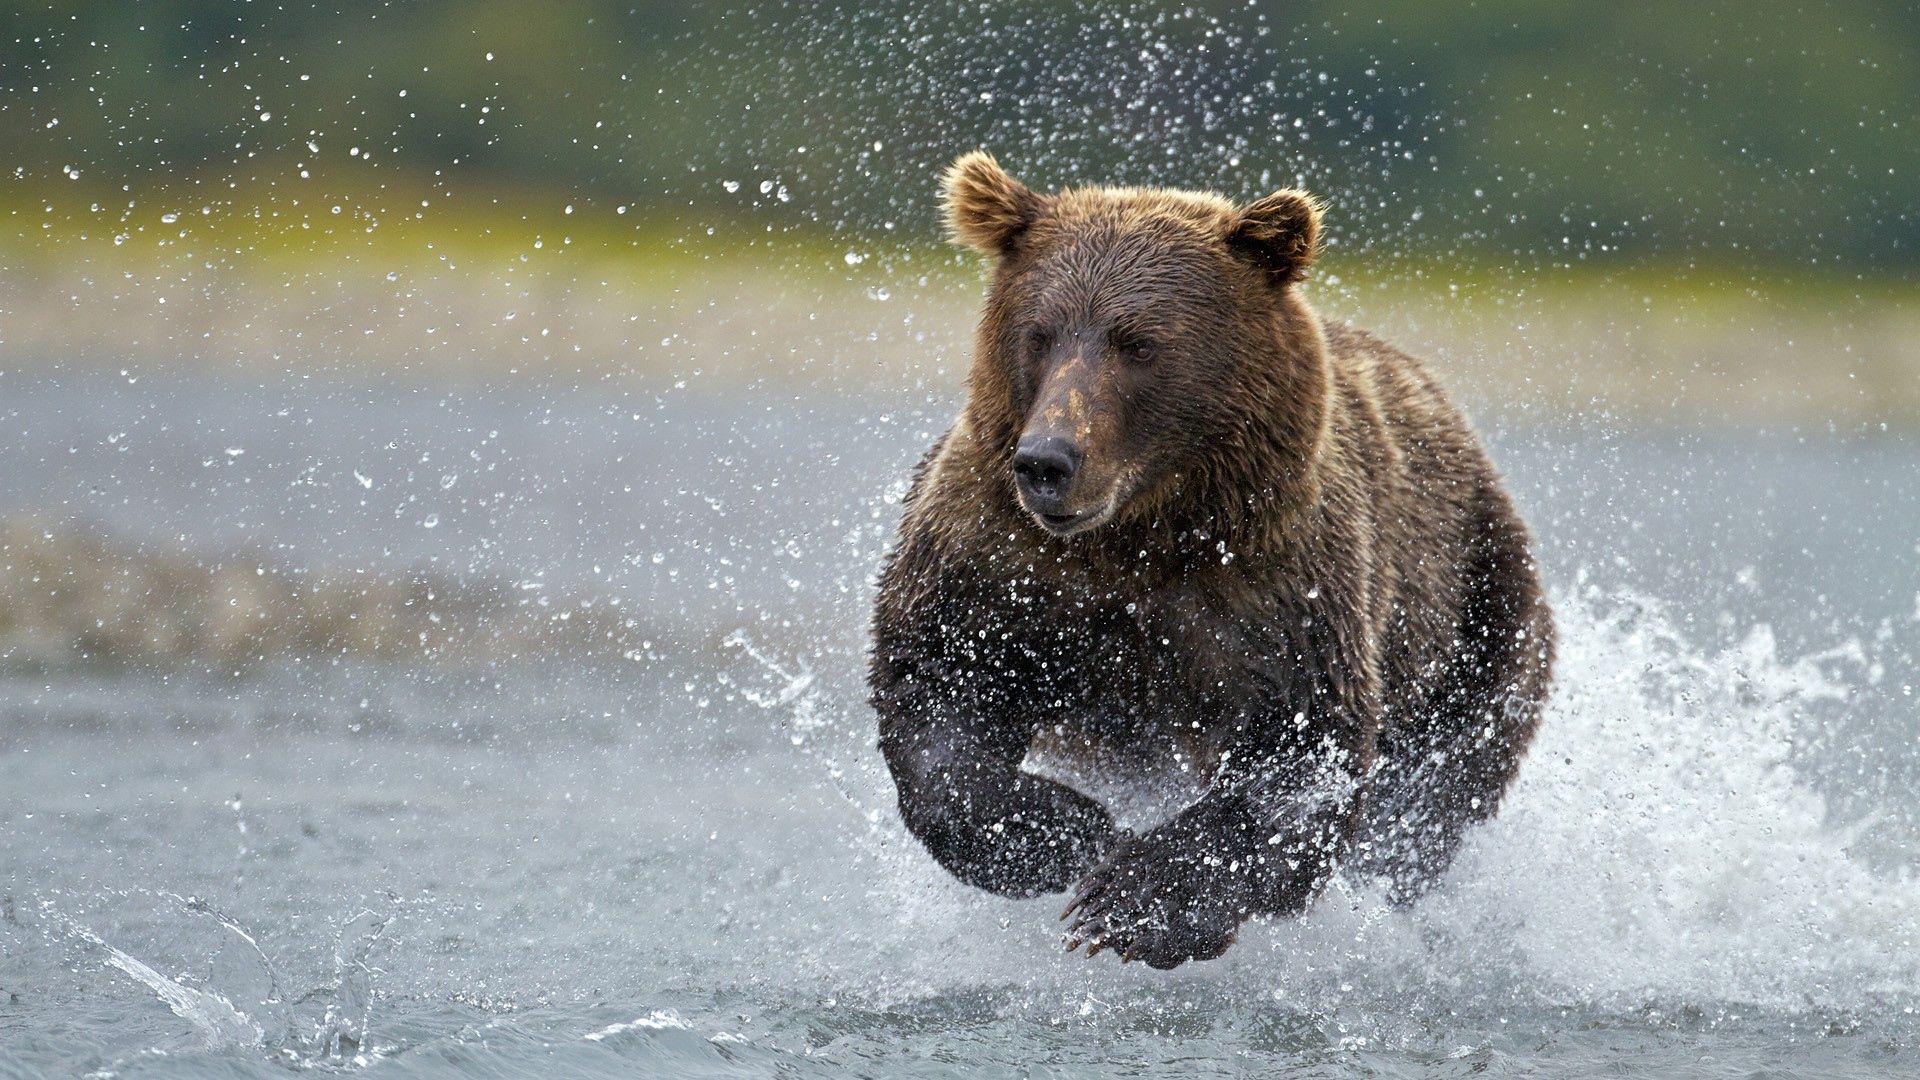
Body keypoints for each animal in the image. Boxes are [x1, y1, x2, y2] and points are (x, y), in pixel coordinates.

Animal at [871, 147, 1559, 960]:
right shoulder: (1000, 561)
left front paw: (1132, 903)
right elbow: (938, 684)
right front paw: (1064, 833)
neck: (1144, 532)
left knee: (1432, 793)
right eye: (1039, 333)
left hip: (1475, 608)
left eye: (1138, 342)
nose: (1047, 460)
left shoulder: (1279, 588)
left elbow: (1300, 752)